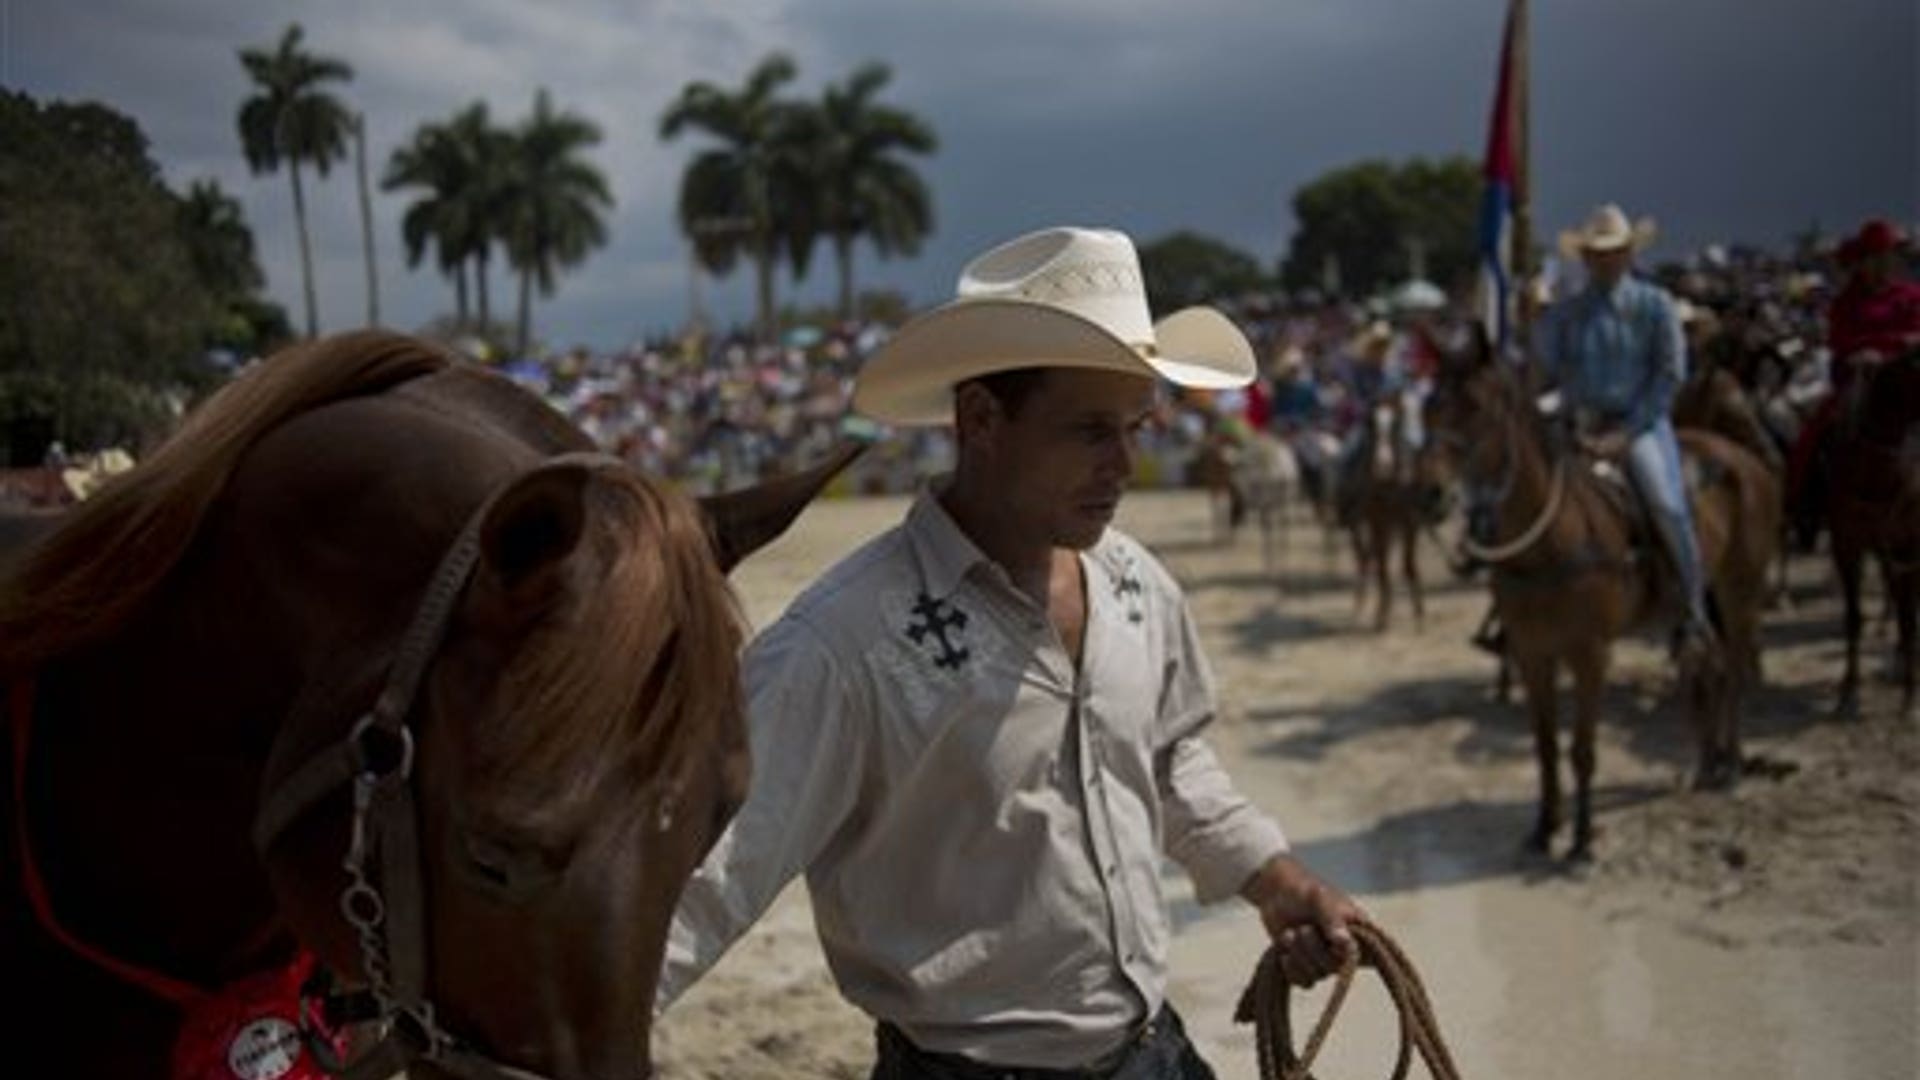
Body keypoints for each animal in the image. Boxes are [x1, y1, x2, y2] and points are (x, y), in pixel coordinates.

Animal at [1415, 333, 1779, 861]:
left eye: (1477, 407)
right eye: (1427, 407)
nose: (1429, 493)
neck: (1552, 543)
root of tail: (1747, 464)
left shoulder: (1590, 654)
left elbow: (1582, 750)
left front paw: (1583, 840)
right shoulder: (1533, 654)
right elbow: (1546, 745)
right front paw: (1545, 829)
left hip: (1739, 593)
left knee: (1732, 670)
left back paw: (1730, 763)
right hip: (1703, 604)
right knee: (1707, 670)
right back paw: (1705, 764)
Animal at [1824, 348, 1920, 720]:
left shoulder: (1906, 547)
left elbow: (1909, 620)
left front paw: (1910, 697)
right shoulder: (1846, 543)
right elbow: (1854, 618)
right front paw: (1848, 692)